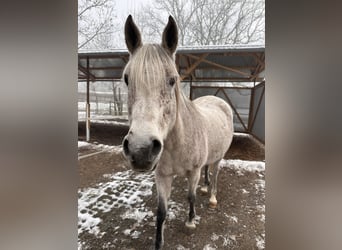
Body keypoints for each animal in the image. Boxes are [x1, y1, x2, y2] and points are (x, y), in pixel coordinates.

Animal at [121, 15, 234, 250]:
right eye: (127, 79)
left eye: (172, 79)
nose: (141, 150)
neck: (176, 143)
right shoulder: (162, 176)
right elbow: (161, 213)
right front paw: (158, 243)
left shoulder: (193, 172)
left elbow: (190, 197)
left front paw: (190, 222)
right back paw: (205, 188)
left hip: (219, 157)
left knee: (215, 173)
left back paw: (212, 197)